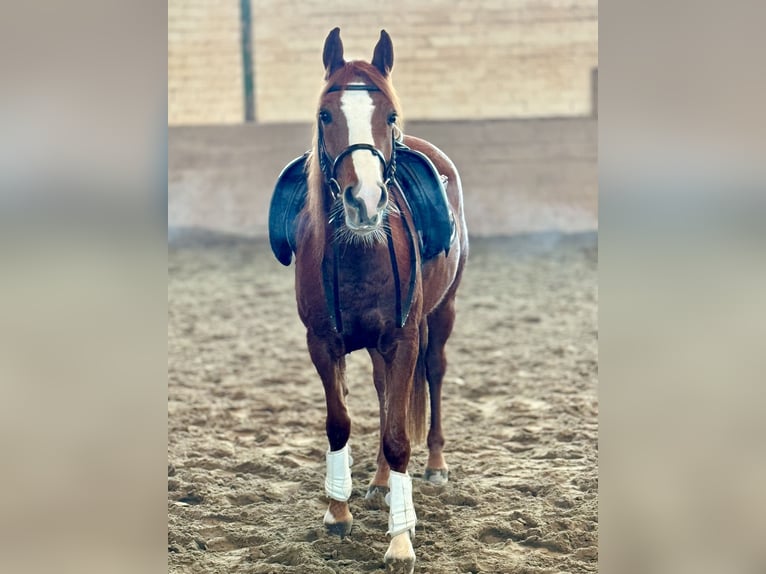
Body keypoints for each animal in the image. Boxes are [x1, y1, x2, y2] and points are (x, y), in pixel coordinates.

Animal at [272, 28, 472, 574]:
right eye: (325, 114)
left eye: (390, 116)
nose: (364, 201)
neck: (361, 249)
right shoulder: (323, 342)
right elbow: (340, 423)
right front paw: (337, 511)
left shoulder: (402, 338)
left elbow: (399, 435)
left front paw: (400, 541)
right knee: (386, 395)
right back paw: (380, 484)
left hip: (441, 316)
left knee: (434, 376)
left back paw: (435, 466)